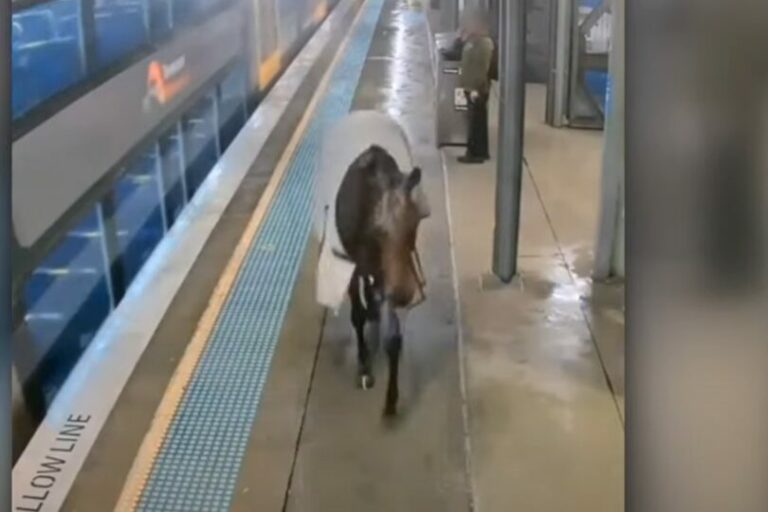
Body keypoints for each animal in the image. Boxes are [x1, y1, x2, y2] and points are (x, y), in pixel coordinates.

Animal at [314, 111, 430, 417]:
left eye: (415, 223)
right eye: (377, 231)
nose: (405, 294)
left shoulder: (390, 272)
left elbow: (393, 337)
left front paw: (391, 400)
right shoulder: (353, 263)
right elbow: (356, 313)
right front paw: (364, 368)